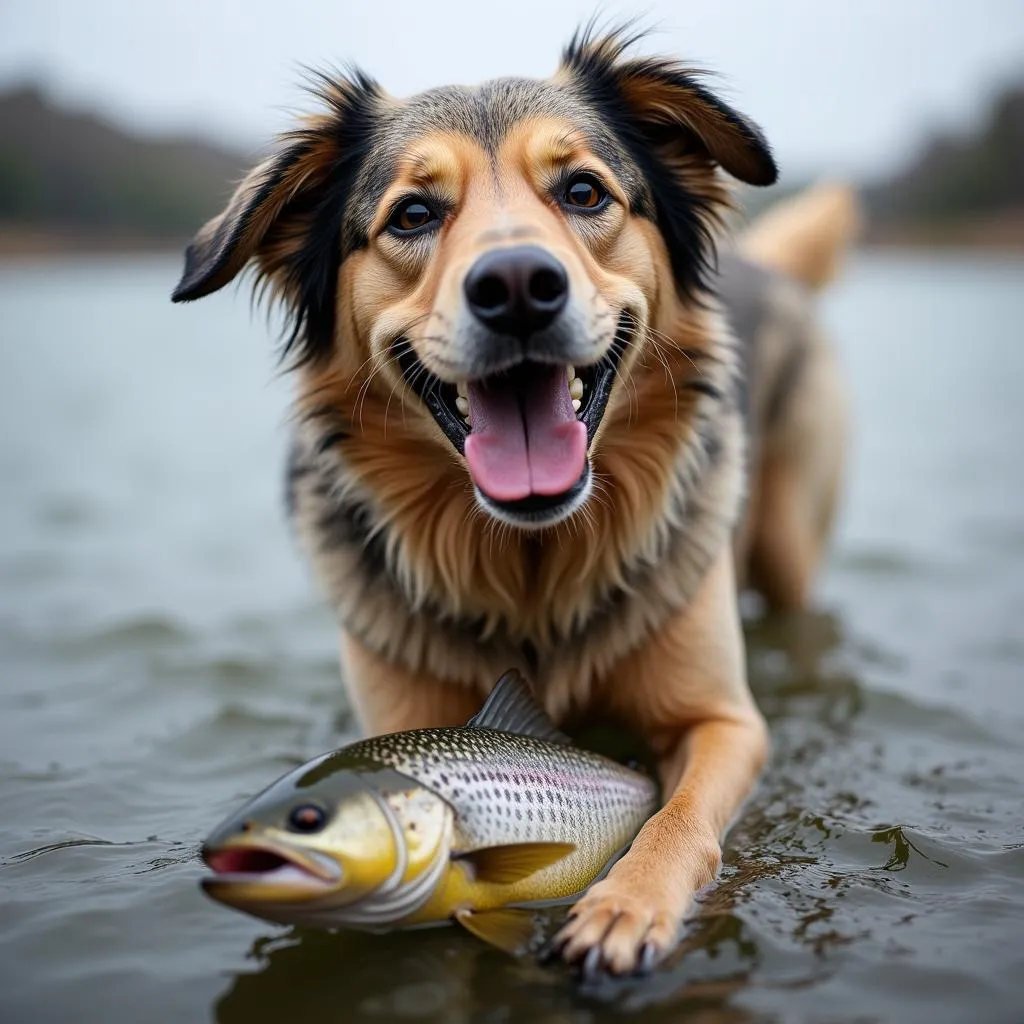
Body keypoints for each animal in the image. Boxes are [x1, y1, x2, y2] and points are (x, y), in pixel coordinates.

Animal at [174, 25, 856, 974]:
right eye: (412, 215)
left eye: (583, 191)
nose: (518, 286)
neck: (533, 565)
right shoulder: (400, 718)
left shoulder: (725, 723)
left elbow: (679, 817)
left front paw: (626, 907)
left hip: (789, 544)